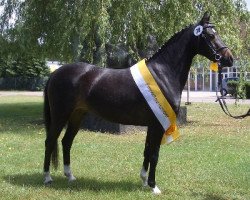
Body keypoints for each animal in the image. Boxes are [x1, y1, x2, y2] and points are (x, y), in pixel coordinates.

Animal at [43, 12, 234, 194]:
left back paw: (70, 176)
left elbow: (147, 151)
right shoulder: (158, 124)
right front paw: (153, 186)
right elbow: (155, 154)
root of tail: (55, 73)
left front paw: (143, 180)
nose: (229, 58)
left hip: (77, 115)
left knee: (66, 142)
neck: (162, 73)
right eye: (211, 35)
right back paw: (47, 178)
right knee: (50, 141)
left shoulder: (153, 122)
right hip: (61, 115)